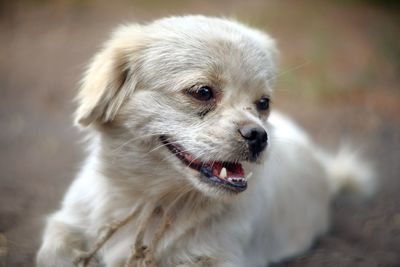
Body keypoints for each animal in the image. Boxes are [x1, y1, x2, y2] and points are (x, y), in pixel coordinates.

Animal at [36, 15, 374, 266]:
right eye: (202, 92)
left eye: (263, 103)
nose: (259, 136)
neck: (154, 202)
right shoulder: (65, 224)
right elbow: (52, 252)